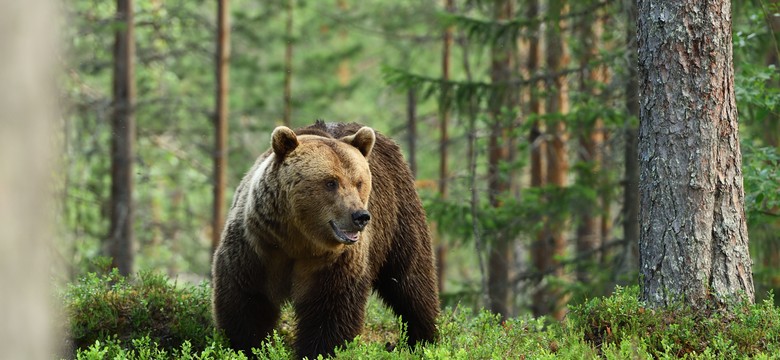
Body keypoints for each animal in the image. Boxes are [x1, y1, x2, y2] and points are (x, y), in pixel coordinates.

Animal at [210, 120, 438, 358]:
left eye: (359, 182)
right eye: (331, 182)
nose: (360, 216)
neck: (298, 241)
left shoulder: (334, 262)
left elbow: (330, 313)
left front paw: (319, 351)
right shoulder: (257, 248)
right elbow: (247, 303)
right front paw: (248, 347)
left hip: (398, 217)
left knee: (412, 281)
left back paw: (423, 340)